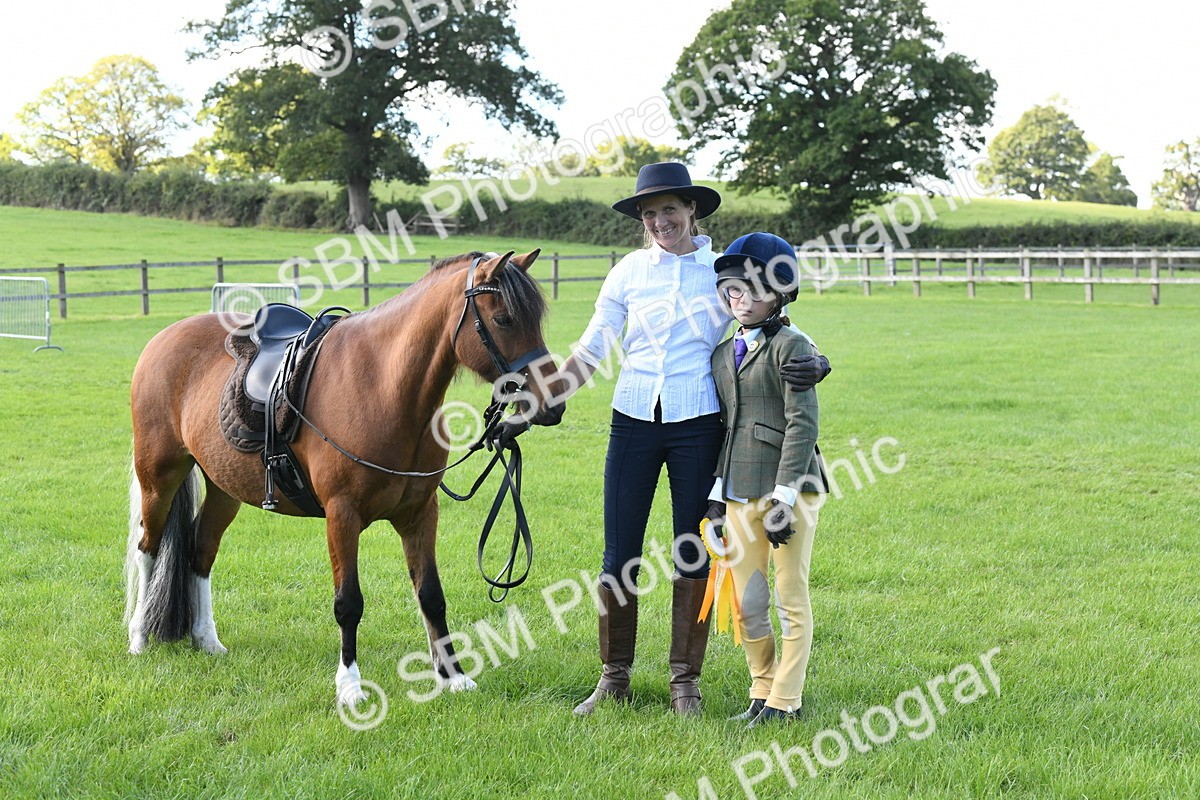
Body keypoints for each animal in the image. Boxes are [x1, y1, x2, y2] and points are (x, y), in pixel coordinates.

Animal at [124, 250, 564, 706]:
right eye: (504, 319)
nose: (552, 402)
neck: (383, 388)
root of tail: (164, 338)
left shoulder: (420, 514)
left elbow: (431, 595)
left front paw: (453, 676)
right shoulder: (342, 516)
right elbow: (348, 603)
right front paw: (351, 687)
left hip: (224, 490)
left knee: (201, 552)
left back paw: (207, 639)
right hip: (158, 477)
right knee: (147, 549)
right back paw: (138, 638)